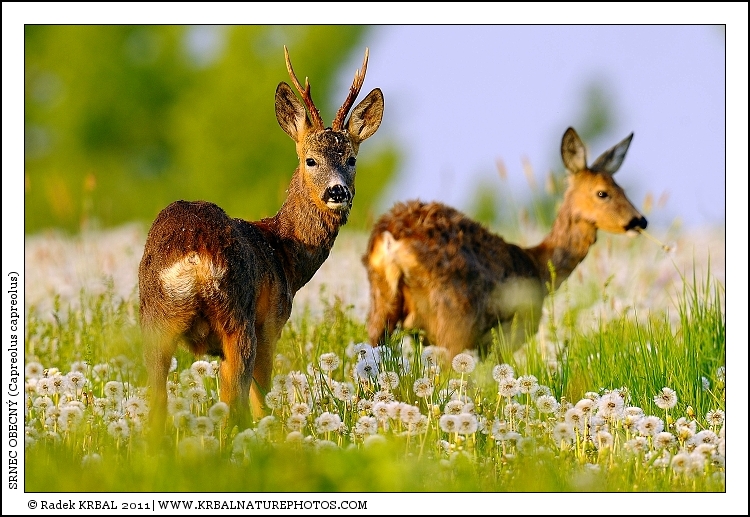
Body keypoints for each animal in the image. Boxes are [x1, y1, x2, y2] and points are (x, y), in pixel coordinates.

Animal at [138, 46, 384, 435]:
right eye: (310, 160)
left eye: (351, 159)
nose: (337, 191)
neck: (284, 251)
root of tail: (193, 254)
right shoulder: (272, 322)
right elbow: (261, 396)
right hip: (238, 317)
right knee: (233, 399)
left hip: (154, 318)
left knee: (158, 403)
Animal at [362, 127, 647, 361]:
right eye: (602, 193)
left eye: (622, 188)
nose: (640, 220)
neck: (539, 267)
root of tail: (391, 238)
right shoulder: (511, 331)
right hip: (454, 319)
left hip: (381, 304)